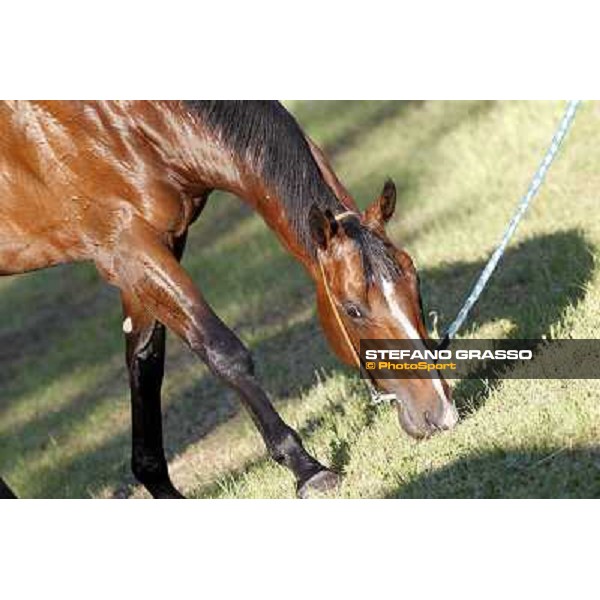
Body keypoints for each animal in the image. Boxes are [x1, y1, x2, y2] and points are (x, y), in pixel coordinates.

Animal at [0, 102, 458, 496]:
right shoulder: (127, 247)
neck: (118, 116)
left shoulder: (152, 249)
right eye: (353, 310)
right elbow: (223, 351)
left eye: (416, 284)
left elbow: (145, 362)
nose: (440, 413)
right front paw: (307, 469)